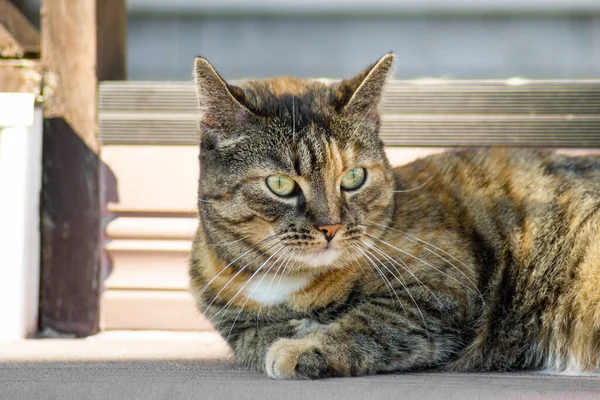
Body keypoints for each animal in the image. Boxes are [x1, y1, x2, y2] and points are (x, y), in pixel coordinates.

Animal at [190, 53, 600, 378]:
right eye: (280, 184)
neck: (284, 282)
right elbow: (252, 336)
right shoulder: (230, 318)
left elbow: (370, 323)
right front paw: (288, 332)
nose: (331, 227)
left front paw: (302, 347)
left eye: (354, 178)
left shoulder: (441, 288)